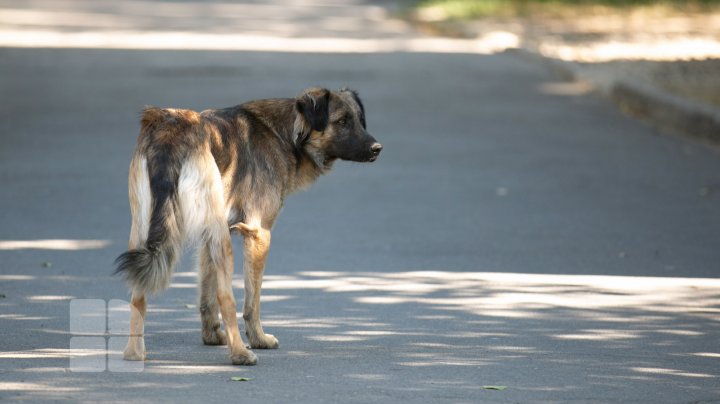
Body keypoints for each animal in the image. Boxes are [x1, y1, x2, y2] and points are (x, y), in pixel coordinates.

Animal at [115, 88, 380, 366]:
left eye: (359, 119)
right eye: (342, 121)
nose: (377, 149)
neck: (285, 133)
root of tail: (172, 130)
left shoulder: (208, 237)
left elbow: (206, 296)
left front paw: (212, 336)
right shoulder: (258, 234)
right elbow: (252, 302)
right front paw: (259, 339)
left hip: (144, 230)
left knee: (138, 294)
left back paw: (134, 352)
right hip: (221, 239)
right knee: (227, 298)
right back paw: (240, 354)